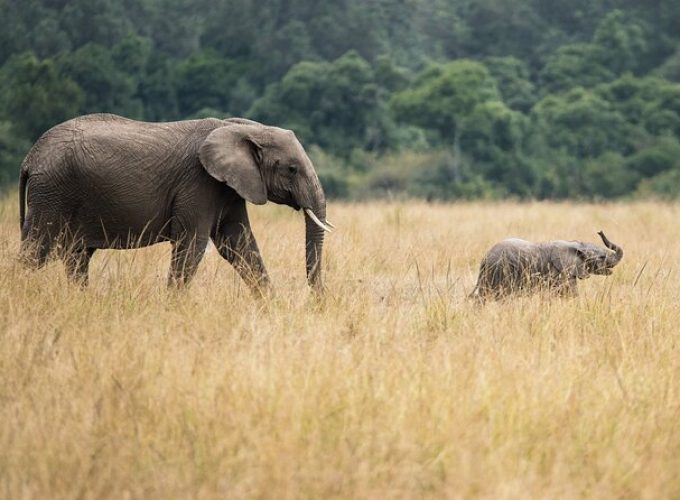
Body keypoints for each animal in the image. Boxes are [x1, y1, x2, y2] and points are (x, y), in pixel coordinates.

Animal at [18, 113, 332, 292]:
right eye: (291, 169)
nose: (316, 302)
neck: (242, 127)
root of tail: (30, 158)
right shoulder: (198, 182)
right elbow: (192, 244)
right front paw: (172, 307)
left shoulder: (227, 186)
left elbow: (238, 245)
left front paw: (270, 308)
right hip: (53, 192)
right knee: (36, 251)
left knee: (77, 256)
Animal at [472, 231, 620, 300]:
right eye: (602, 257)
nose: (599, 232)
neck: (577, 244)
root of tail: (485, 258)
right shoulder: (560, 272)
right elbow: (569, 293)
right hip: (502, 270)